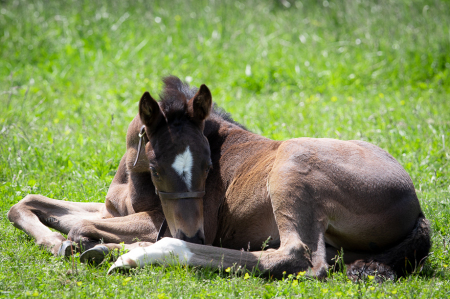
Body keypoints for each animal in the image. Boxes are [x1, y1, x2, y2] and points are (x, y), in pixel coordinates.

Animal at [7, 77, 428, 282]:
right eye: (156, 167)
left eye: (211, 167)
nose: (192, 233)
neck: (132, 177)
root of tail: (417, 208)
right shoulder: (112, 210)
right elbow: (27, 203)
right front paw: (56, 241)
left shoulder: (157, 222)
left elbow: (79, 224)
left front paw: (76, 244)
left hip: (292, 167)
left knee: (299, 257)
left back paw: (137, 254)